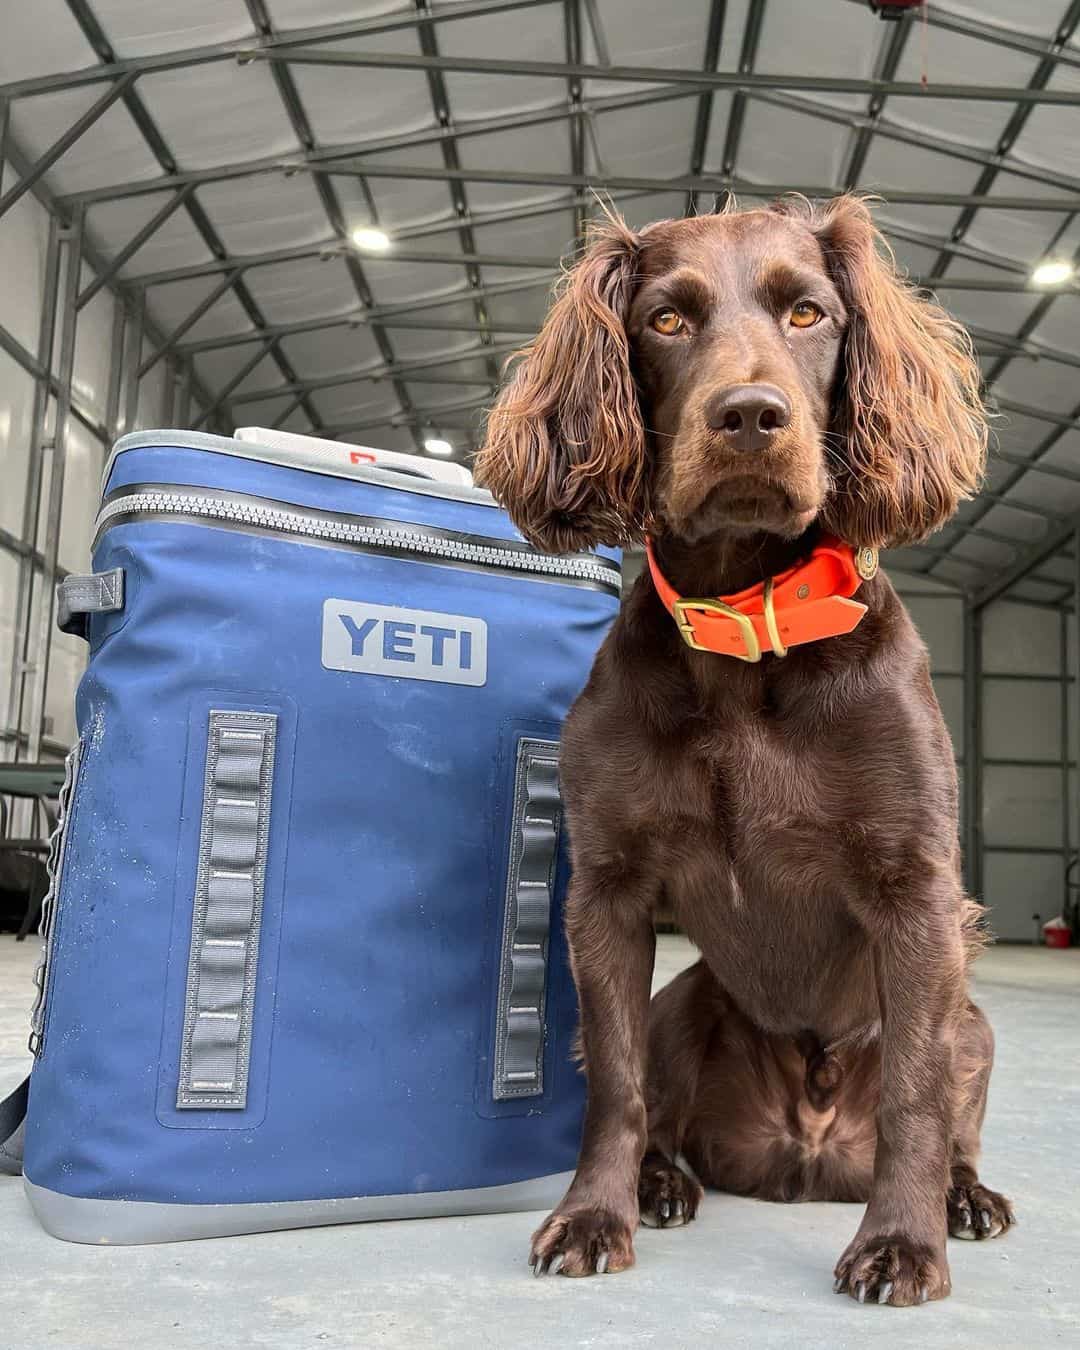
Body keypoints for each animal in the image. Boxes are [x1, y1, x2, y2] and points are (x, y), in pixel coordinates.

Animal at [477, 195, 1015, 1301]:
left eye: (808, 312)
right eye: (666, 321)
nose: (751, 416)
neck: (745, 627)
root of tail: (803, 1152)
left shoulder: (918, 892)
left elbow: (916, 1092)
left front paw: (902, 1243)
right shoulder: (609, 893)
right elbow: (615, 1081)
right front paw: (594, 1215)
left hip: (976, 1018)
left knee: (952, 1108)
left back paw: (963, 1198)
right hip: (683, 999)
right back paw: (663, 1181)